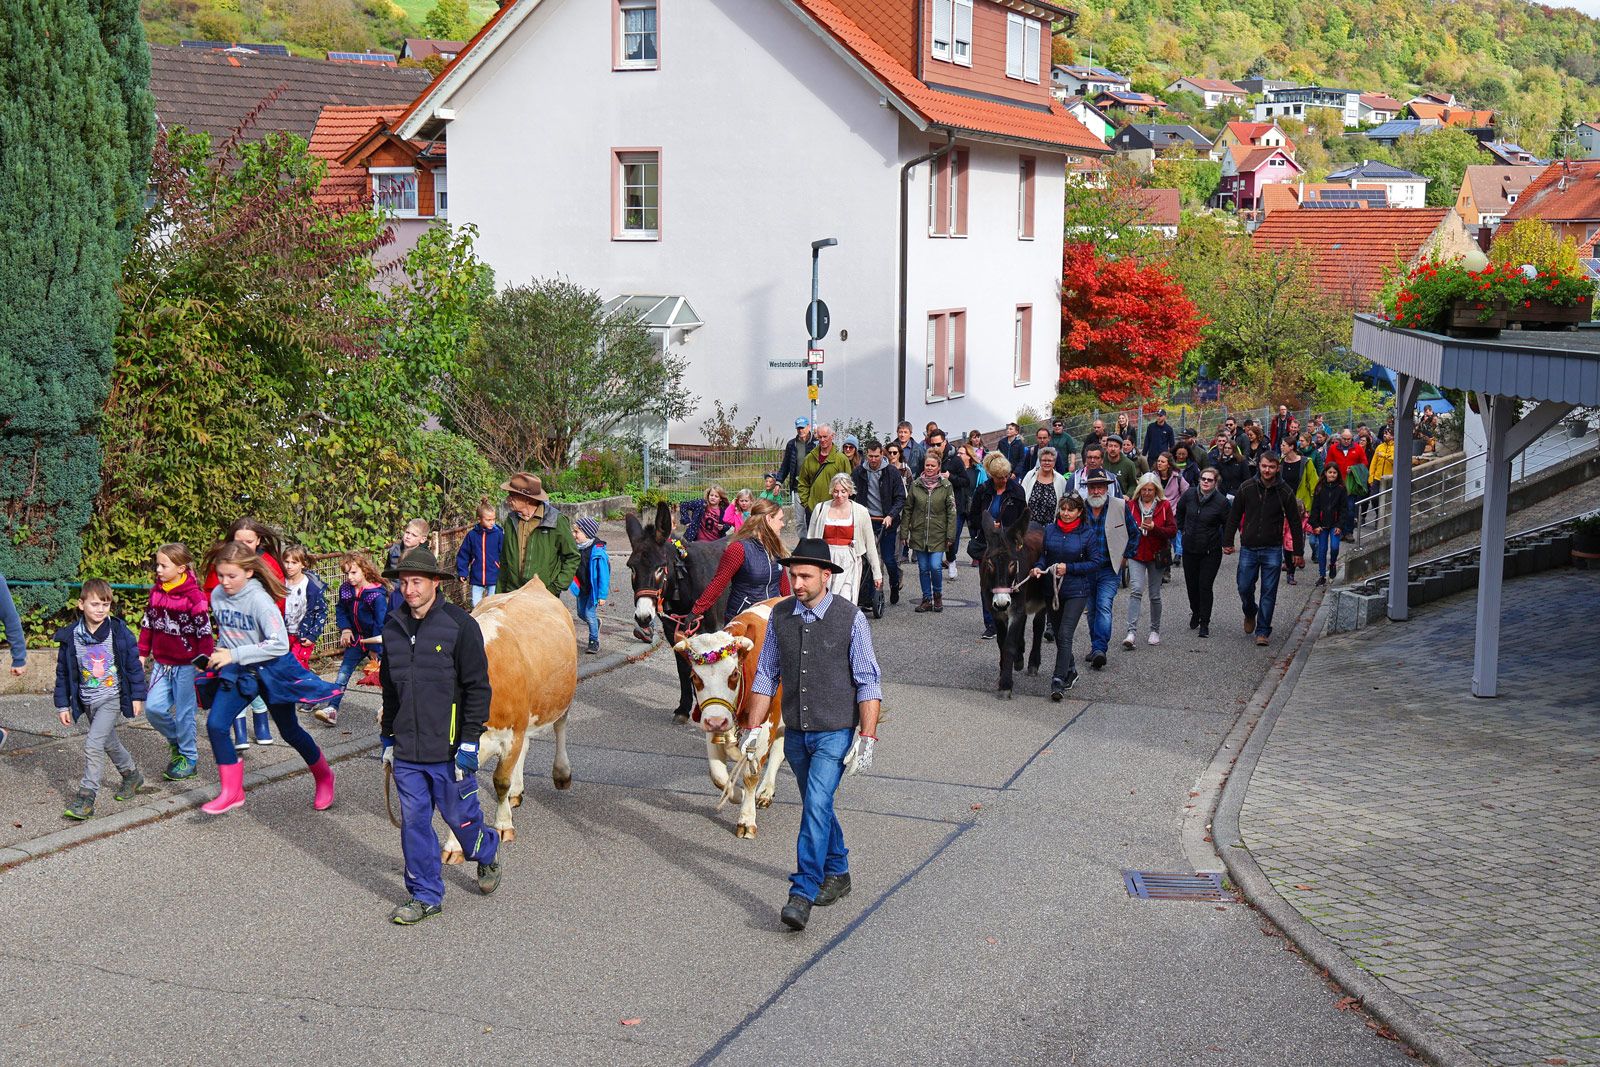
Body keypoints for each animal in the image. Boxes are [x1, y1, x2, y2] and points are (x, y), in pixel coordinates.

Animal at [441, 575, 579, 870]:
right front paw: (453, 846)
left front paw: (503, 824)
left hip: (562, 695)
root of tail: (534, 584)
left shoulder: (510, 734)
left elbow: (500, 781)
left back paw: (561, 774)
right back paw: (518, 790)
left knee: (560, 727)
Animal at [672, 601, 784, 844]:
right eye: (695, 677)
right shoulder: (713, 724)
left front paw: (746, 820)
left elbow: (751, 775)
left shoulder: (765, 725)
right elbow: (718, 775)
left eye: (733, 674)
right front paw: (737, 794)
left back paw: (764, 791)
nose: (716, 721)